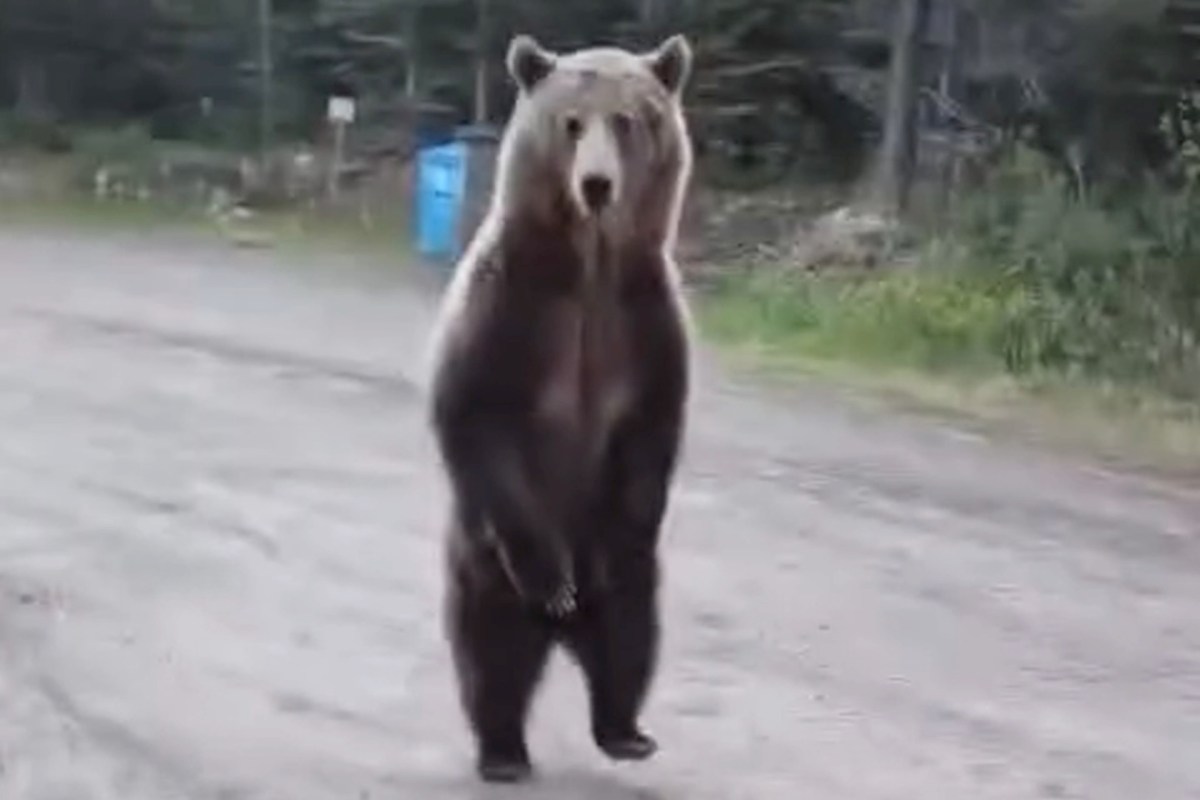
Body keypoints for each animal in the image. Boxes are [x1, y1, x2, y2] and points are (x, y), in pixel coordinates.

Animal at [425, 31, 695, 784]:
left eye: (628, 121)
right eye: (571, 123)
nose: (597, 184)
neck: (589, 268)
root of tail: (561, 635)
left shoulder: (646, 319)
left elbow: (652, 429)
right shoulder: (509, 303)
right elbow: (473, 410)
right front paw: (550, 578)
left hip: (631, 582)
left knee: (632, 634)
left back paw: (625, 729)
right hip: (482, 561)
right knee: (489, 650)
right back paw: (504, 749)